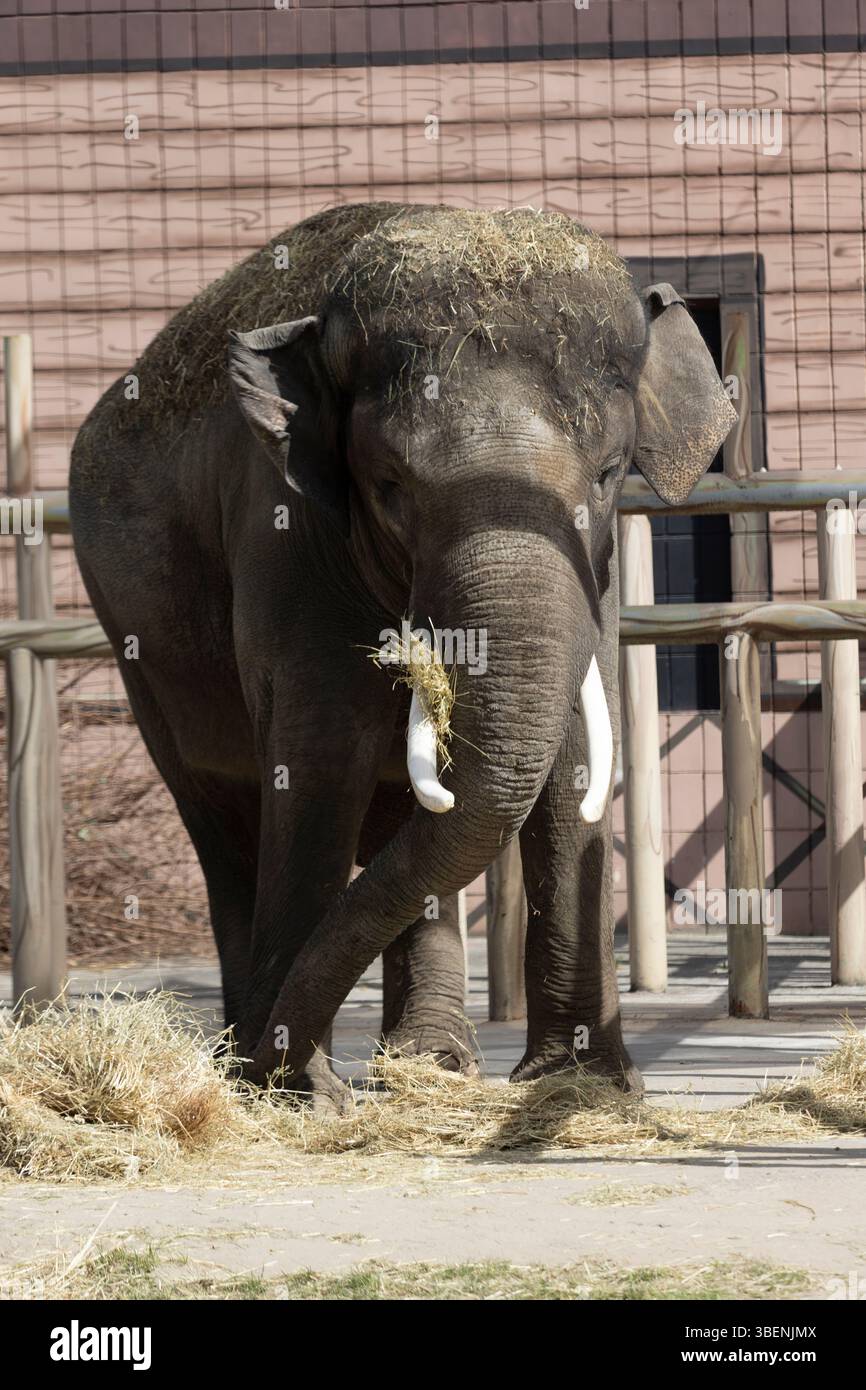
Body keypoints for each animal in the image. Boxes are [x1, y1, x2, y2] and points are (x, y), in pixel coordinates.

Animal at [70, 203, 736, 1108]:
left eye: (606, 476)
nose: (286, 1059)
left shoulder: (589, 570)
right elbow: (318, 757)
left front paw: (581, 1086)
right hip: (138, 651)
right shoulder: (285, 535)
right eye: (389, 486)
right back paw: (254, 1063)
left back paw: (429, 1062)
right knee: (224, 818)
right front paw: (297, 1092)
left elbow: (569, 762)